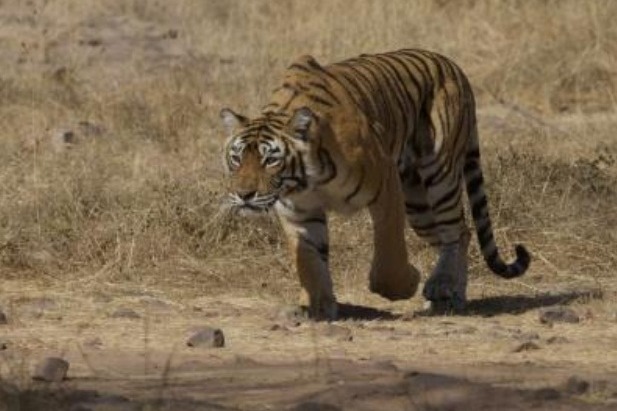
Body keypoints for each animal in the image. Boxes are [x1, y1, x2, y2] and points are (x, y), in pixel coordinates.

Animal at [220, 49, 528, 322]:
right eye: (236, 158)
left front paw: (407, 283)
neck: (307, 180)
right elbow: (310, 262)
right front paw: (316, 307)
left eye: (270, 160)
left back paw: (443, 289)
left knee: (458, 231)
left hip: (439, 175)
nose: (243, 195)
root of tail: (452, 66)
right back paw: (450, 295)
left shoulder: (385, 184)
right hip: (419, 206)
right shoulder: (299, 211)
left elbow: (387, 259)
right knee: (455, 235)